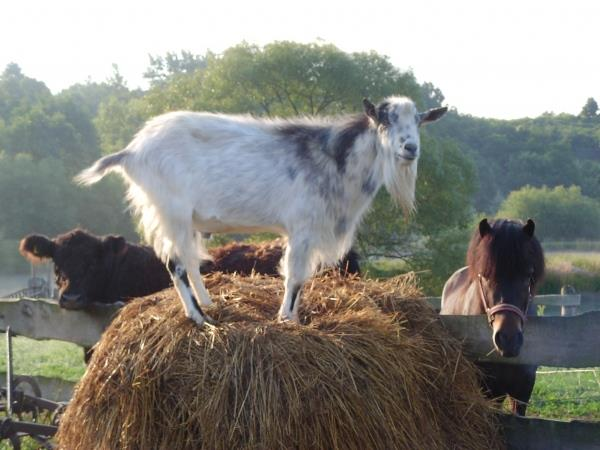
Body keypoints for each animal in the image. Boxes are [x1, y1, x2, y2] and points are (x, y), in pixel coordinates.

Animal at [76, 96, 446, 326]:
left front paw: (293, 317)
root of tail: (132, 151)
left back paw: (209, 303)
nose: (410, 148)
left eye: (419, 122)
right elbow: (294, 277)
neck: (336, 161)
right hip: (170, 211)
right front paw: (286, 319)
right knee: (176, 264)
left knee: (190, 262)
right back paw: (199, 317)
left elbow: (301, 278)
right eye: (384, 120)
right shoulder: (303, 228)